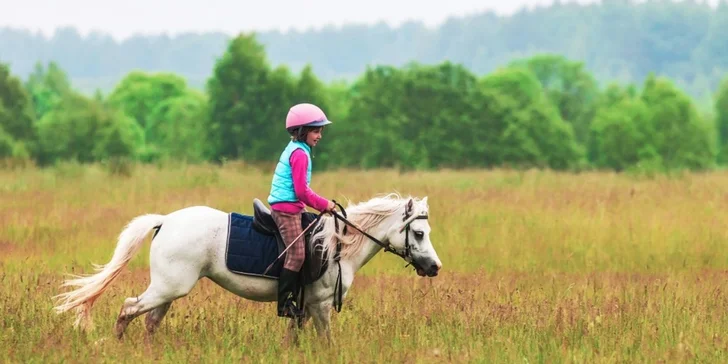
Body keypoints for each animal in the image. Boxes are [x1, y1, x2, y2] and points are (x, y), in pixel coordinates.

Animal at [54, 193, 440, 342]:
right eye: (419, 233)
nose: (435, 267)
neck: (337, 246)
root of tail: (165, 221)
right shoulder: (319, 304)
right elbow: (326, 340)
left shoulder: (303, 306)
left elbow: (293, 338)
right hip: (169, 287)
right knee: (128, 309)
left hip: (168, 289)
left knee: (149, 320)